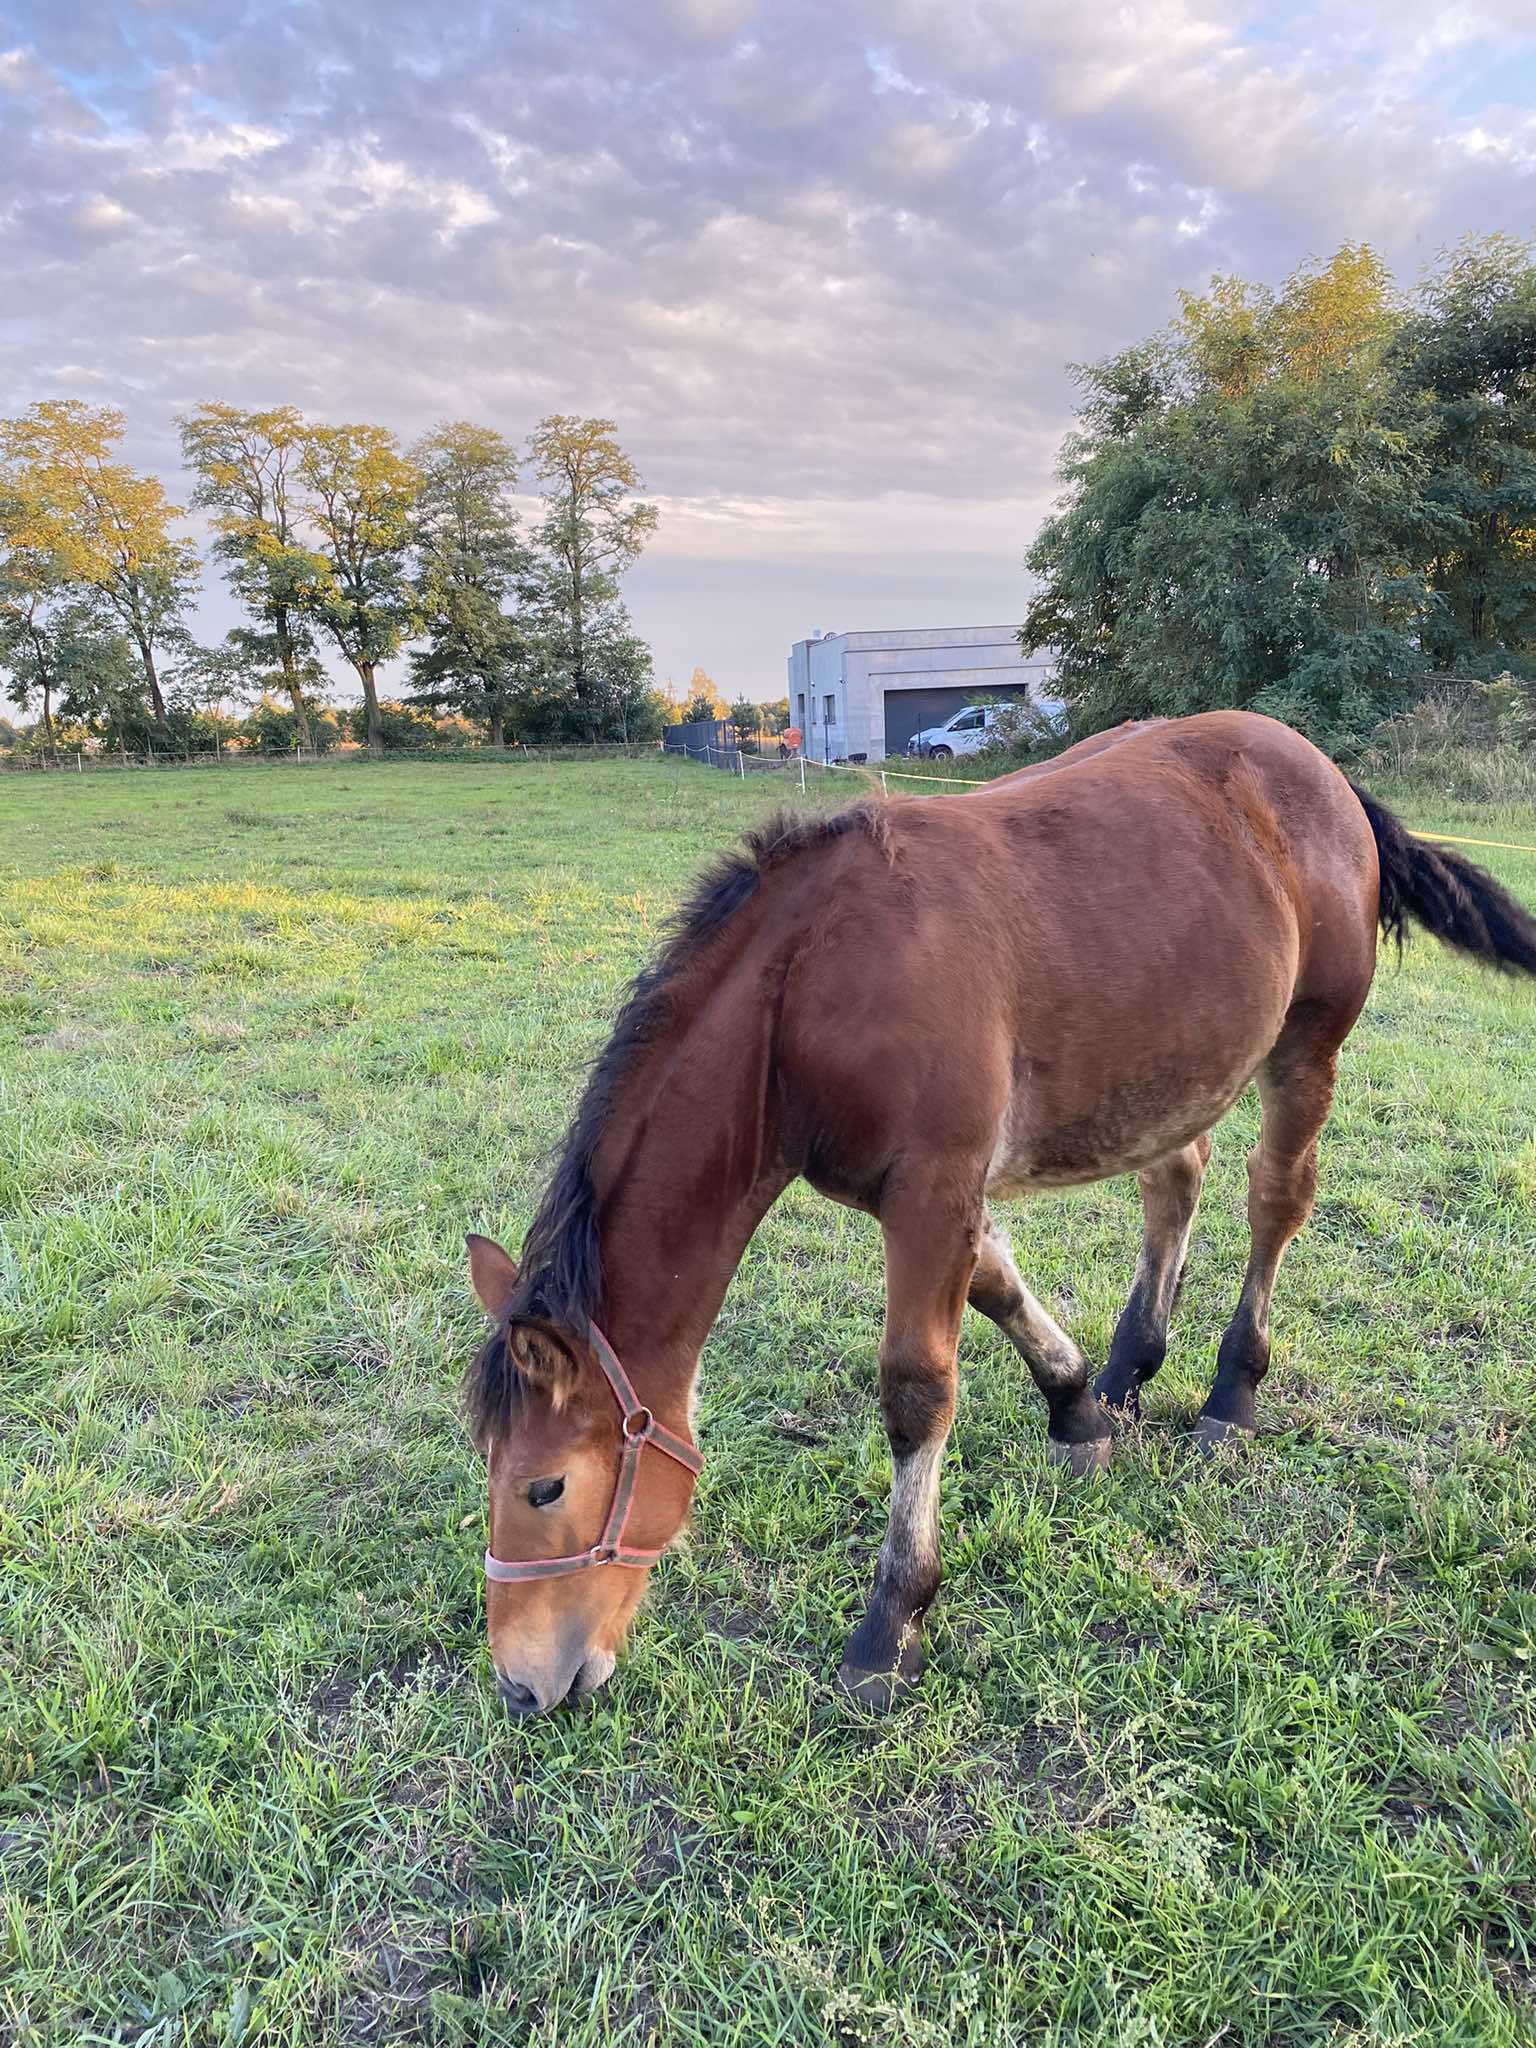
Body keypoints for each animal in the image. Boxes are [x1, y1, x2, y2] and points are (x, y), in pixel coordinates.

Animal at [466, 716, 1536, 1712]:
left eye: (546, 1485)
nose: (521, 1683)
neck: (807, 989)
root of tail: (1321, 771)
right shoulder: (935, 1194)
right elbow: (999, 1288)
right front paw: (1079, 1408)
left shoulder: (934, 1187)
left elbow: (916, 1394)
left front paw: (891, 1622)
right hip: (1166, 1068)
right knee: (1174, 1181)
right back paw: (1131, 1366)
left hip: (1307, 1045)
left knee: (1275, 1200)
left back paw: (1233, 1393)